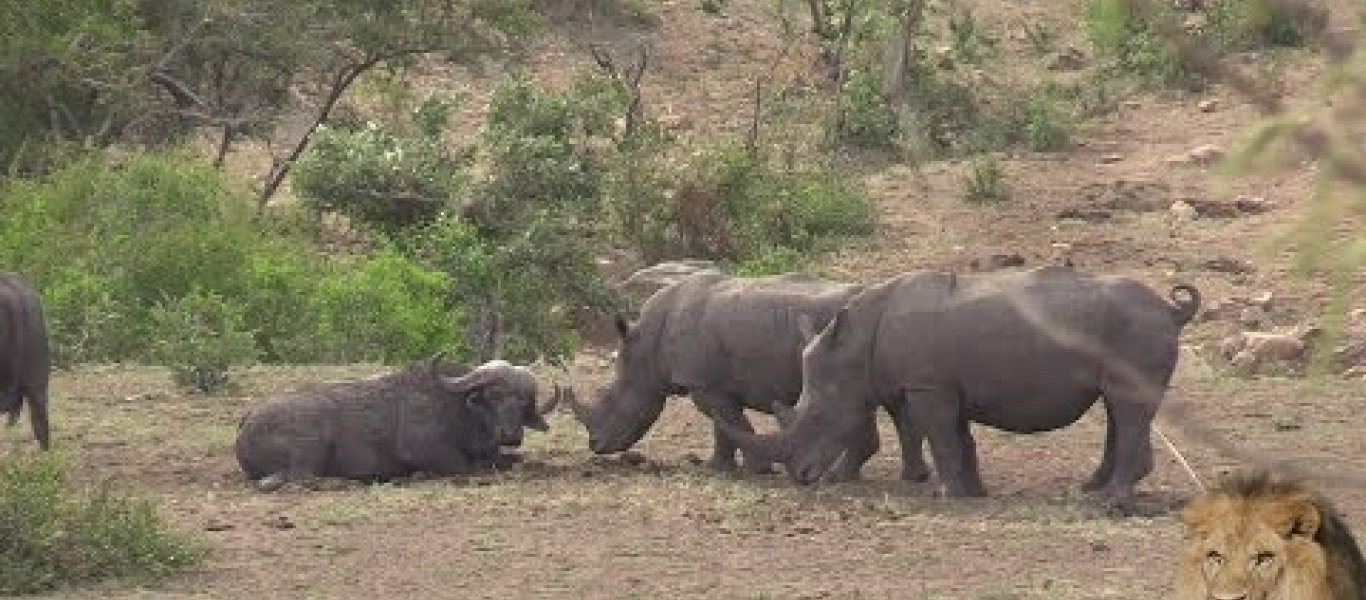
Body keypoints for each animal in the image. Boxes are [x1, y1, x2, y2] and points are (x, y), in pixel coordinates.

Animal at [237, 355, 557, 492]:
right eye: (493, 397)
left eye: (522, 402)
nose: (510, 435)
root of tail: (248, 419)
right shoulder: (428, 452)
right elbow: (470, 466)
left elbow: (514, 459)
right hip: (310, 449)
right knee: (300, 477)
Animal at [560, 270, 934, 481]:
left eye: (609, 397)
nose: (595, 446)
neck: (647, 344)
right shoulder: (712, 383)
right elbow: (724, 426)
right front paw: (723, 468)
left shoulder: (707, 384)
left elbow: (731, 423)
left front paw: (750, 469)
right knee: (894, 406)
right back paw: (912, 477)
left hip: (846, 352)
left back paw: (842, 477)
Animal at [721, 266, 1202, 511]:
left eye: (818, 416)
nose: (801, 477)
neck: (857, 344)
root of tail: (1169, 310)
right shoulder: (945, 386)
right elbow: (958, 436)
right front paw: (973, 492)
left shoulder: (928, 387)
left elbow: (940, 436)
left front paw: (945, 495)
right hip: (1131, 331)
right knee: (1117, 408)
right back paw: (1095, 489)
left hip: (1135, 328)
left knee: (1127, 407)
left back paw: (1114, 502)